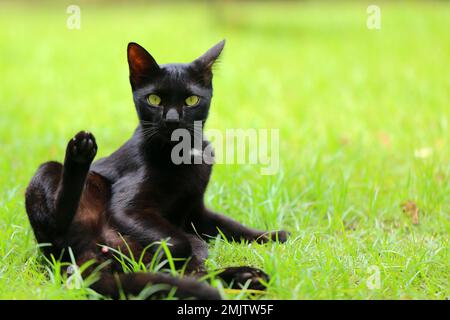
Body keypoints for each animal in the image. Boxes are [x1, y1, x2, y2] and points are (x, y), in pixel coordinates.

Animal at [24, 40, 290, 300]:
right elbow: (180, 242)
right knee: (59, 224)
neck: (183, 156)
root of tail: (88, 252)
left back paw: (248, 277)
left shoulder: (195, 211)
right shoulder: (129, 209)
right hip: (48, 174)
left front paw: (274, 235)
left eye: (191, 100)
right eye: (154, 99)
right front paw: (169, 254)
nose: (172, 120)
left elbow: (231, 226)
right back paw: (81, 152)